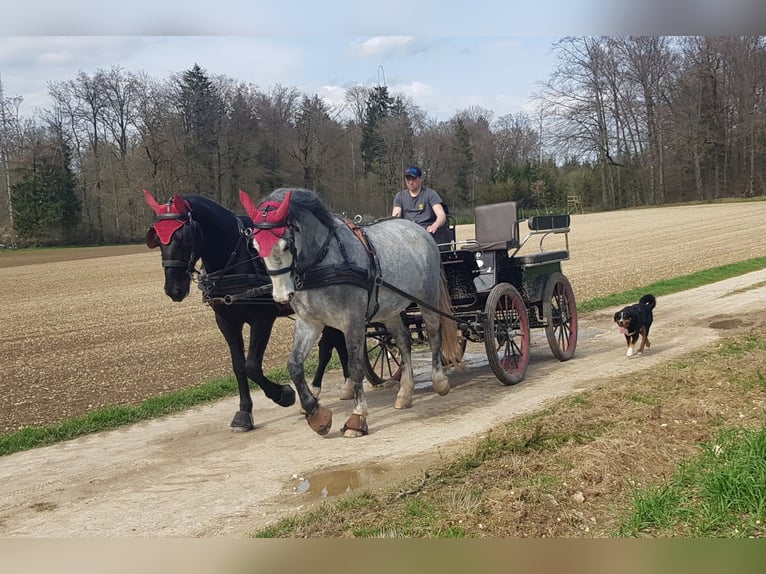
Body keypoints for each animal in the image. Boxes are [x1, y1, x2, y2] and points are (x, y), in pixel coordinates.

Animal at [146, 192, 352, 432]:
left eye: (185, 237)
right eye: (157, 238)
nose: (174, 289)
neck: (236, 258)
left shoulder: (262, 319)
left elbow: (252, 366)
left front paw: (284, 394)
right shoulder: (225, 321)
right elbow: (238, 366)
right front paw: (244, 411)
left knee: (330, 345)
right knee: (334, 343)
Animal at [240, 187, 462, 438]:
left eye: (286, 245)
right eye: (255, 247)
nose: (281, 296)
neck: (323, 263)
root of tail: (419, 230)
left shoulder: (352, 321)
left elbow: (355, 368)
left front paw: (357, 417)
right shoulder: (309, 322)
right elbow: (294, 366)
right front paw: (315, 413)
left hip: (427, 297)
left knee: (434, 334)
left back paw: (439, 380)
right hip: (390, 309)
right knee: (404, 342)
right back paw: (405, 392)